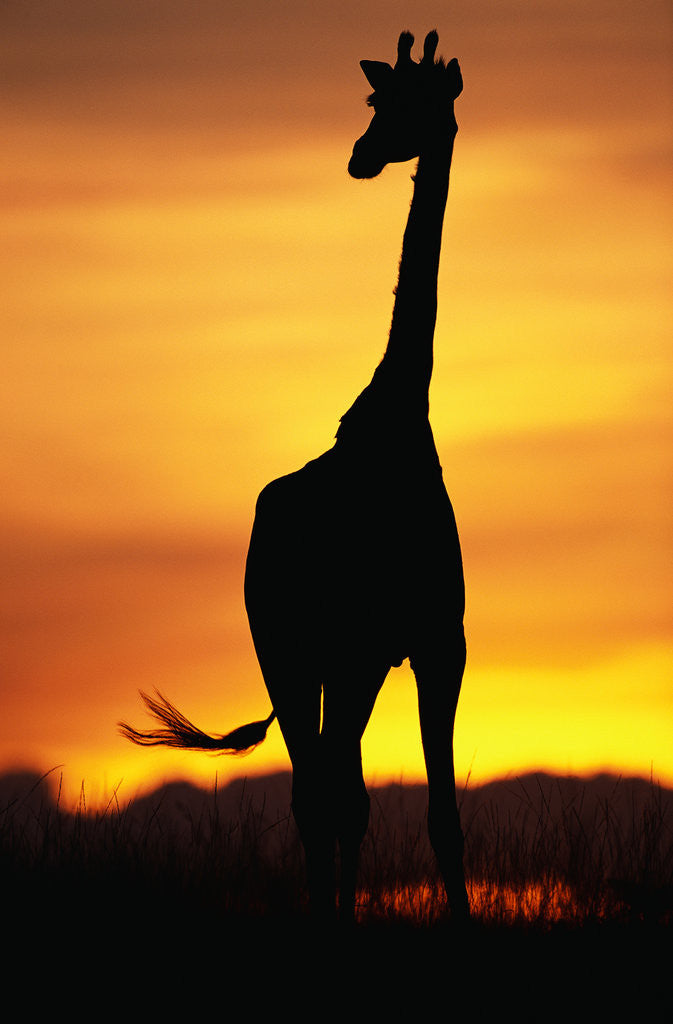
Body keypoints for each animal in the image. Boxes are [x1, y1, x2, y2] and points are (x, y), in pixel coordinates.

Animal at [119, 30, 469, 924]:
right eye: (377, 102)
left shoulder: (427, 642)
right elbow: (393, 806)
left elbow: (433, 813)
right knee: (318, 790)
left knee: (339, 787)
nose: (360, 157)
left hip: (337, 658)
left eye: (419, 102)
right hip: (289, 643)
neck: (397, 417)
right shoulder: (398, 642)